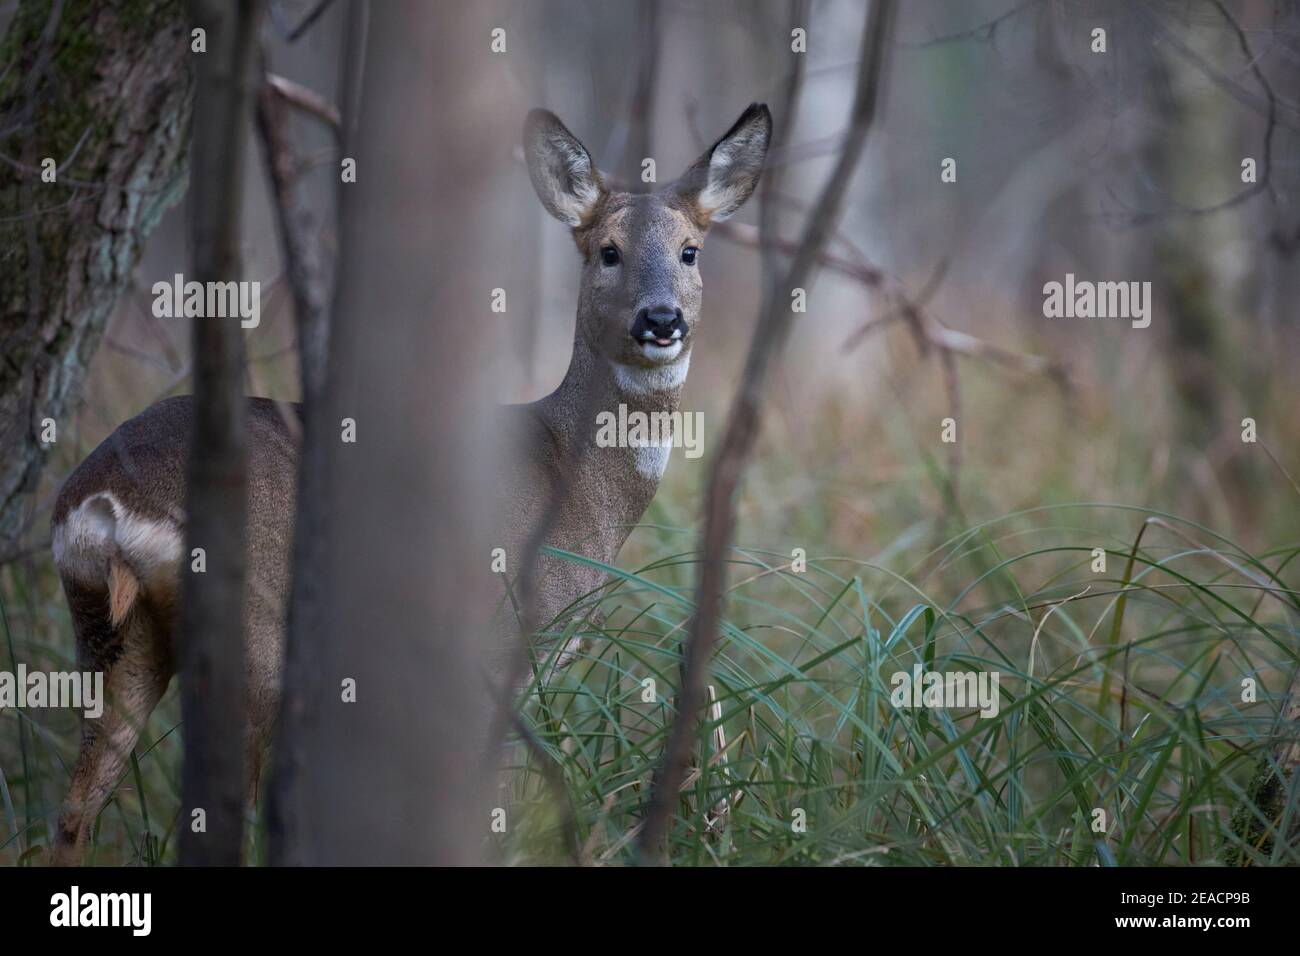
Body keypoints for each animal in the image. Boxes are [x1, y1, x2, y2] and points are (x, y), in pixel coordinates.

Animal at [47, 103, 771, 865]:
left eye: (691, 250)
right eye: (608, 250)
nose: (661, 319)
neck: (573, 481)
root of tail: (102, 501)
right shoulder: (506, 641)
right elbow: (496, 799)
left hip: (109, 633)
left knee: (75, 808)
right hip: (251, 633)